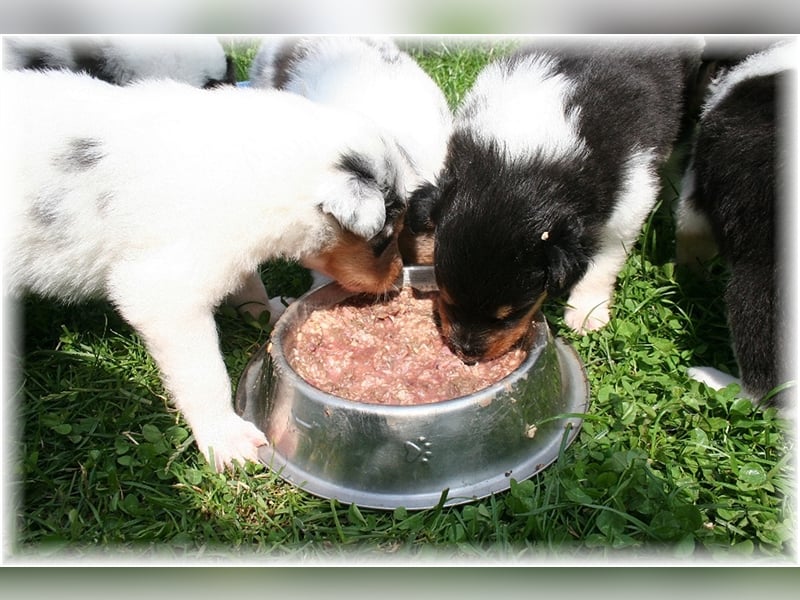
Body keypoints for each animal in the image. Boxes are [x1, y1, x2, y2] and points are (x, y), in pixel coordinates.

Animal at [1, 70, 412, 472]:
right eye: (385, 234)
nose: (396, 280)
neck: (257, 168)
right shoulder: (166, 294)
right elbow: (205, 375)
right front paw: (227, 438)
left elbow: (249, 284)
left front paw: (268, 313)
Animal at [410, 39, 704, 364]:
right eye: (445, 295)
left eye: (511, 314)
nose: (466, 354)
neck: (520, 157)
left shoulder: (631, 196)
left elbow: (604, 261)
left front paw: (586, 315)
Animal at [676, 41, 792, 408]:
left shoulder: (696, 186)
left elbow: (688, 232)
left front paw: (689, 274)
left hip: (757, 289)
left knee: (764, 389)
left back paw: (713, 381)